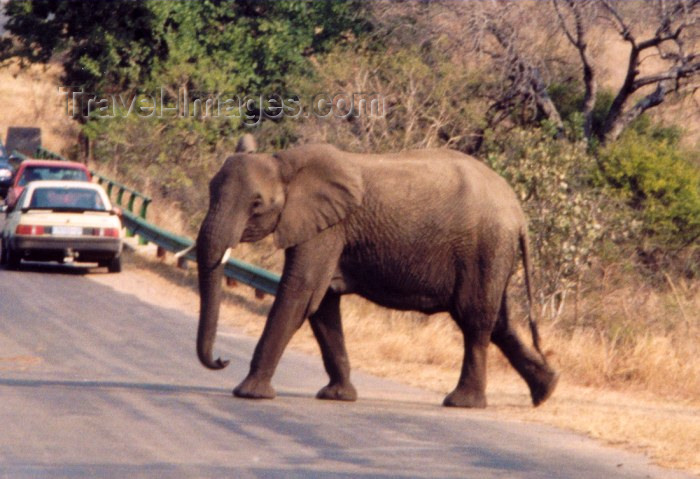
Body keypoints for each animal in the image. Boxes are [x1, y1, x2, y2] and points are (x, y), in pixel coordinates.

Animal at [196, 142, 556, 408]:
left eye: (256, 204)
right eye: (210, 189)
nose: (222, 360)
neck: (284, 162)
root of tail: (519, 213)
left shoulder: (328, 229)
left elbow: (300, 294)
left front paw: (248, 393)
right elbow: (322, 304)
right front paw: (338, 396)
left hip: (485, 247)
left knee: (474, 317)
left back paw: (463, 402)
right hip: (494, 254)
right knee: (499, 321)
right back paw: (546, 391)